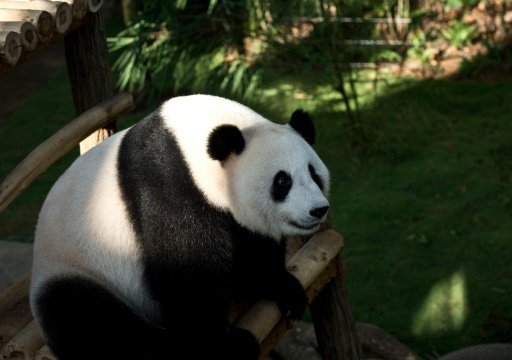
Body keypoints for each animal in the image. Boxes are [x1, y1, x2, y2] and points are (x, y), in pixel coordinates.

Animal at [30, 94, 330, 358]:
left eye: (313, 174)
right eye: (282, 181)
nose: (319, 210)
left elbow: (253, 246)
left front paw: (285, 289)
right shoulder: (168, 183)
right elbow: (185, 270)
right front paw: (225, 343)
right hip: (74, 266)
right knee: (86, 317)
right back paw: (161, 345)